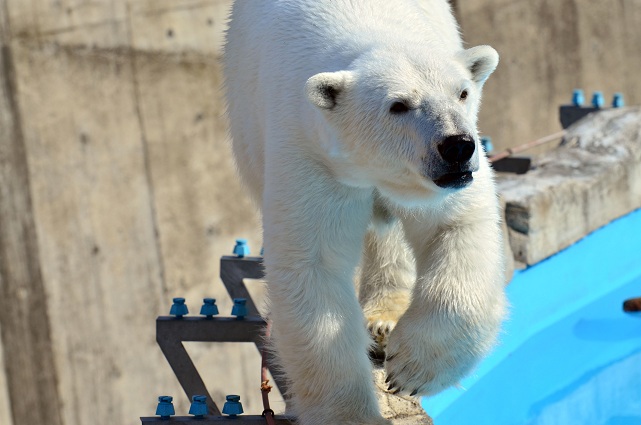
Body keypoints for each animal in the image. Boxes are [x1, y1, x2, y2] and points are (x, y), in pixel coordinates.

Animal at [222, 1, 508, 422]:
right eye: (399, 105)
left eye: (462, 92)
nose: (457, 146)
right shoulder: (310, 153)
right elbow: (313, 266)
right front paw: (351, 413)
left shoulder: (444, 183)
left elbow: (455, 225)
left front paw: (411, 368)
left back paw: (382, 319)